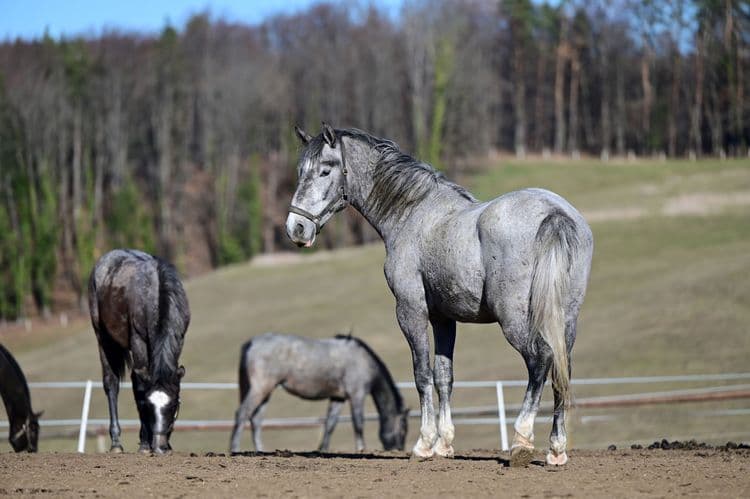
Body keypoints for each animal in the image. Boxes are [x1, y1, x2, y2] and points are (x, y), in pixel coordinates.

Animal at [88, 249, 190, 454]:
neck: (156, 294)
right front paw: (144, 444)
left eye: (173, 405)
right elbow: (139, 390)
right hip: (103, 338)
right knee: (112, 384)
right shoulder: (138, 341)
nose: (160, 447)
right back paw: (116, 443)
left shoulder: (179, 339)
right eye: (150, 406)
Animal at [229, 333, 409, 453]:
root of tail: (252, 343)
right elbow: (358, 423)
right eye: (402, 430)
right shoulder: (356, 395)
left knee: (256, 420)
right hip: (260, 388)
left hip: (265, 392)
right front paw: (361, 448)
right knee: (242, 414)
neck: (363, 360)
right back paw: (234, 448)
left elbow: (330, 424)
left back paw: (260, 450)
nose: (398, 449)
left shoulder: (338, 398)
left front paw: (323, 449)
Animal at [286, 124, 593, 466]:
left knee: (540, 360)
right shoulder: (444, 319)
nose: (296, 228)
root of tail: (554, 214)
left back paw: (522, 441)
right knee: (561, 368)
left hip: (515, 319)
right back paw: (556, 449)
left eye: (325, 170)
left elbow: (422, 374)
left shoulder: (411, 312)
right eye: (300, 171)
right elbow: (444, 376)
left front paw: (424, 444)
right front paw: (445, 444)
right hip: (565, 318)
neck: (414, 214)